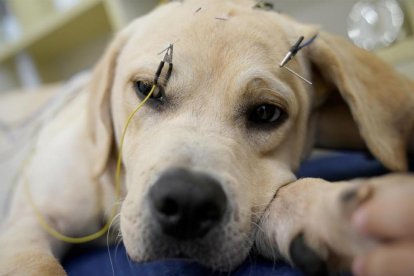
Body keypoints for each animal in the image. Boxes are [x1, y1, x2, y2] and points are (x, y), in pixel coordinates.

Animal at [0, 1, 414, 274]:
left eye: (266, 112)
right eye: (147, 88)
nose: (187, 203)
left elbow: (284, 195)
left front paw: (330, 214)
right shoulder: (25, 227)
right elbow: (35, 262)